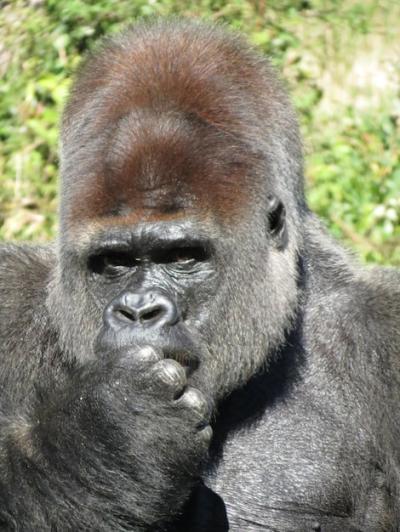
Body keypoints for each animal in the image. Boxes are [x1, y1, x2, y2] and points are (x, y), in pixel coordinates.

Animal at [0, 17, 400, 532]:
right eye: (114, 262)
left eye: (183, 256)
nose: (139, 311)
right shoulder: (11, 293)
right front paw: (105, 440)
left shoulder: (384, 328)